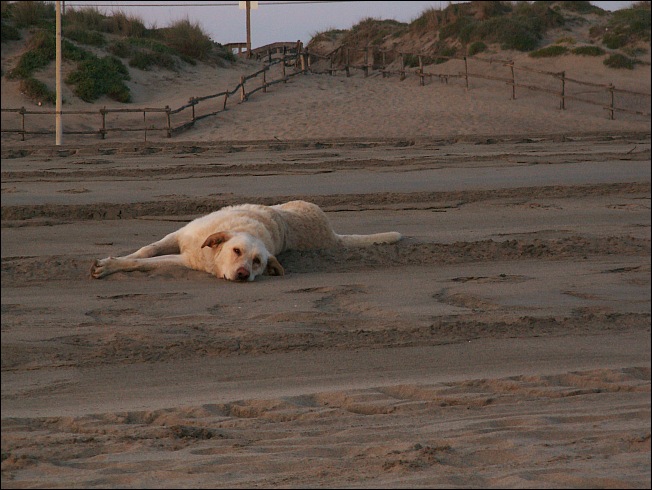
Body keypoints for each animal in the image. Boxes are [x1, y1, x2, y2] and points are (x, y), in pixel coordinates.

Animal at [89, 200, 400, 284]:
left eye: (258, 262)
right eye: (236, 251)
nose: (242, 274)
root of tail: (332, 233)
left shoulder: (184, 259)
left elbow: (143, 263)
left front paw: (110, 266)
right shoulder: (178, 235)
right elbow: (145, 250)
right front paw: (113, 260)